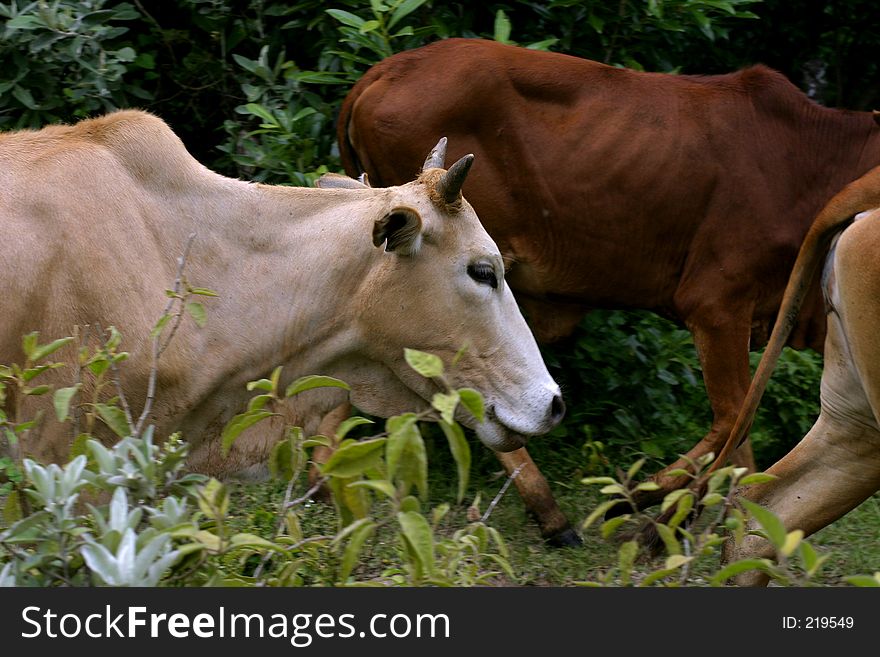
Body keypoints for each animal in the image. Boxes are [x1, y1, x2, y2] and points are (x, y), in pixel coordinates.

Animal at [336, 36, 880, 540]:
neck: (814, 162)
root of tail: (381, 72)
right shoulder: (717, 303)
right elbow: (734, 421)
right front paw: (641, 505)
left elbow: (738, 438)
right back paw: (551, 513)